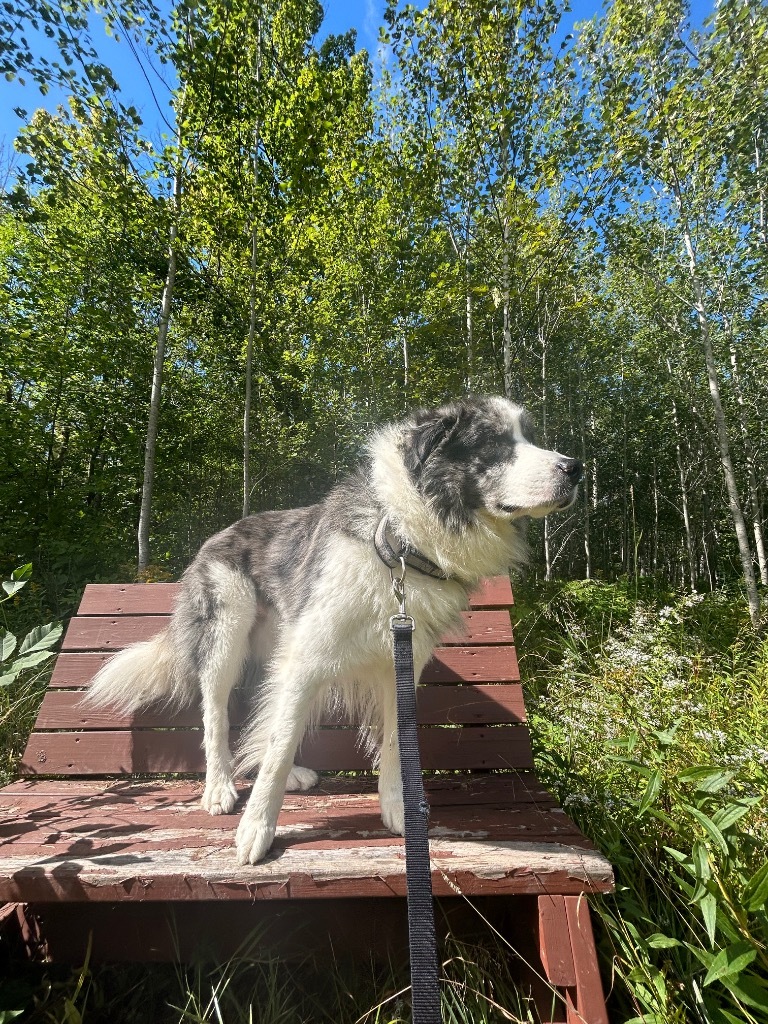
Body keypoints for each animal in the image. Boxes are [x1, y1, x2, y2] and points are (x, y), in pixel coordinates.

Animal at [87, 397, 581, 864]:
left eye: (529, 435)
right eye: (495, 442)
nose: (575, 468)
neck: (399, 542)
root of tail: (216, 536)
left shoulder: (399, 663)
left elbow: (394, 740)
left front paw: (399, 809)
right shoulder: (308, 655)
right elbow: (282, 739)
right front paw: (256, 830)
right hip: (227, 631)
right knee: (217, 714)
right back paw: (220, 789)